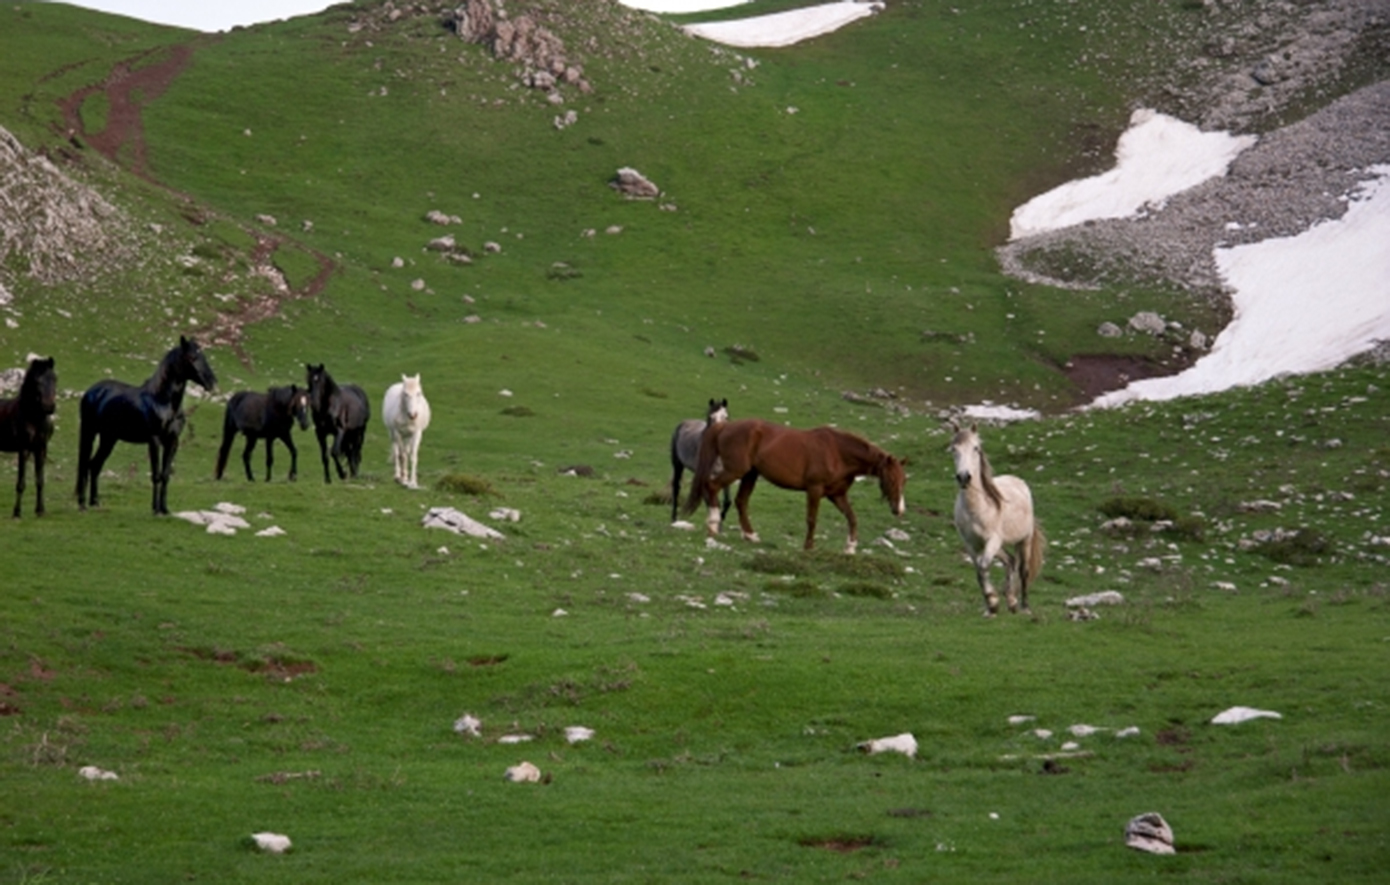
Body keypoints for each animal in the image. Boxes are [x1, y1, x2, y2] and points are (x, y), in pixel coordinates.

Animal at [0, 354, 58, 514]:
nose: (49, 406)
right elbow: (21, 482)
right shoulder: (23, 449)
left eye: (55, 378)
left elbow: (40, 481)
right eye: (38, 381)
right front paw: (16, 512)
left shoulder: (41, 449)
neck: (33, 417)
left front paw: (40, 510)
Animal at [75, 334, 215, 514]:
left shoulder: (172, 441)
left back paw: (95, 502)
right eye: (191, 357)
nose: (212, 382)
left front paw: (164, 509)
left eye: (203, 356)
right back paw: (82, 504)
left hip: (109, 438)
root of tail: (91, 392)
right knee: (85, 464)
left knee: (95, 465)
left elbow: (165, 475)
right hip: (89, 432)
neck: (162, 402)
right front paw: (155, 510)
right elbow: (156, 475)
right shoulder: (154, 440)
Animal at [686, 419, 906, 552]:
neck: (838, 452)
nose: (899, 510)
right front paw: (808, 547)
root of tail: (725, 426)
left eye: (904, 480)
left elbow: (852, 518)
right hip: (736, 471)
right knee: (712, 486)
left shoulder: (837, 495)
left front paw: (850, 547)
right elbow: (812, 519)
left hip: (750, 474)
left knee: (741, 501)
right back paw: (713, 525)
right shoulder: (814, 490)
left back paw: (750, 535)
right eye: (891, 480)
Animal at [950, 422, 1045, 614]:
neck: (977, 509)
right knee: (1010, 560)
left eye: (976, 448)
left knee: (1023, 569)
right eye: (954, 449)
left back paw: (1024, 606)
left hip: (1024, 540)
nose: (964, 477)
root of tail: (1018, 481)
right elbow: (979, 570)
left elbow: (983, 566)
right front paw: (991, 605)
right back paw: (1011, 600)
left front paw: (993, 601)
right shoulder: (971, 544)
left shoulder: (992, 540)